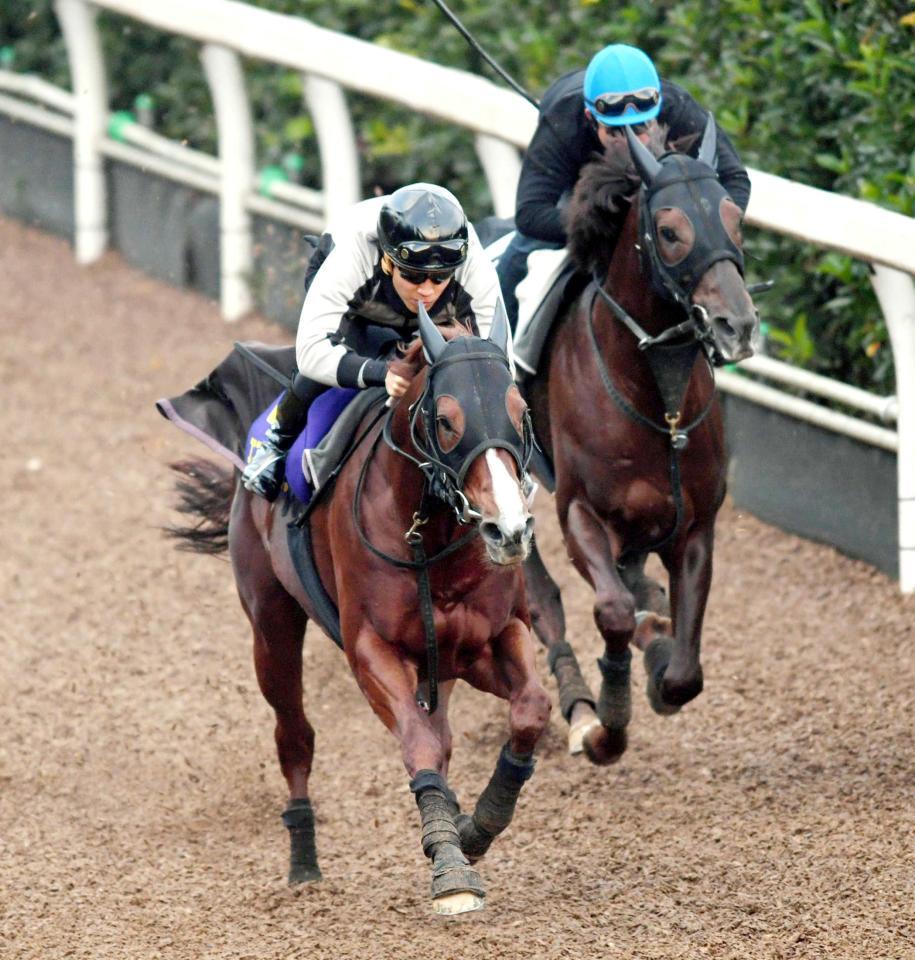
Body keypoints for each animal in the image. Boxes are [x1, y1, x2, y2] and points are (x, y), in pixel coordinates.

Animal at [165, 308, 552, 916]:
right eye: (446, 421)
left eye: (521, 413)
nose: (508, 530)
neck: (429, 538)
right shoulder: (371, 648)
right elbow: (418, 743)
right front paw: (451, 871)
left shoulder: (485, 642)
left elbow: (530, 709)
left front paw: (474, 828)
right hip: (271, 626)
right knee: (295, 737)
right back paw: (304, 861)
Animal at [524, 118, 760, 764]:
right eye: (670, 231)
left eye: (735, 218)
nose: (737, 325)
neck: (660, 399)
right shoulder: (578, 511)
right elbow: (612, 612)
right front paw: (609, 720)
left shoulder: (695, 524)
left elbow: (683, 673)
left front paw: (659, 662)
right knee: (540, 597)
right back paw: (580, 709)